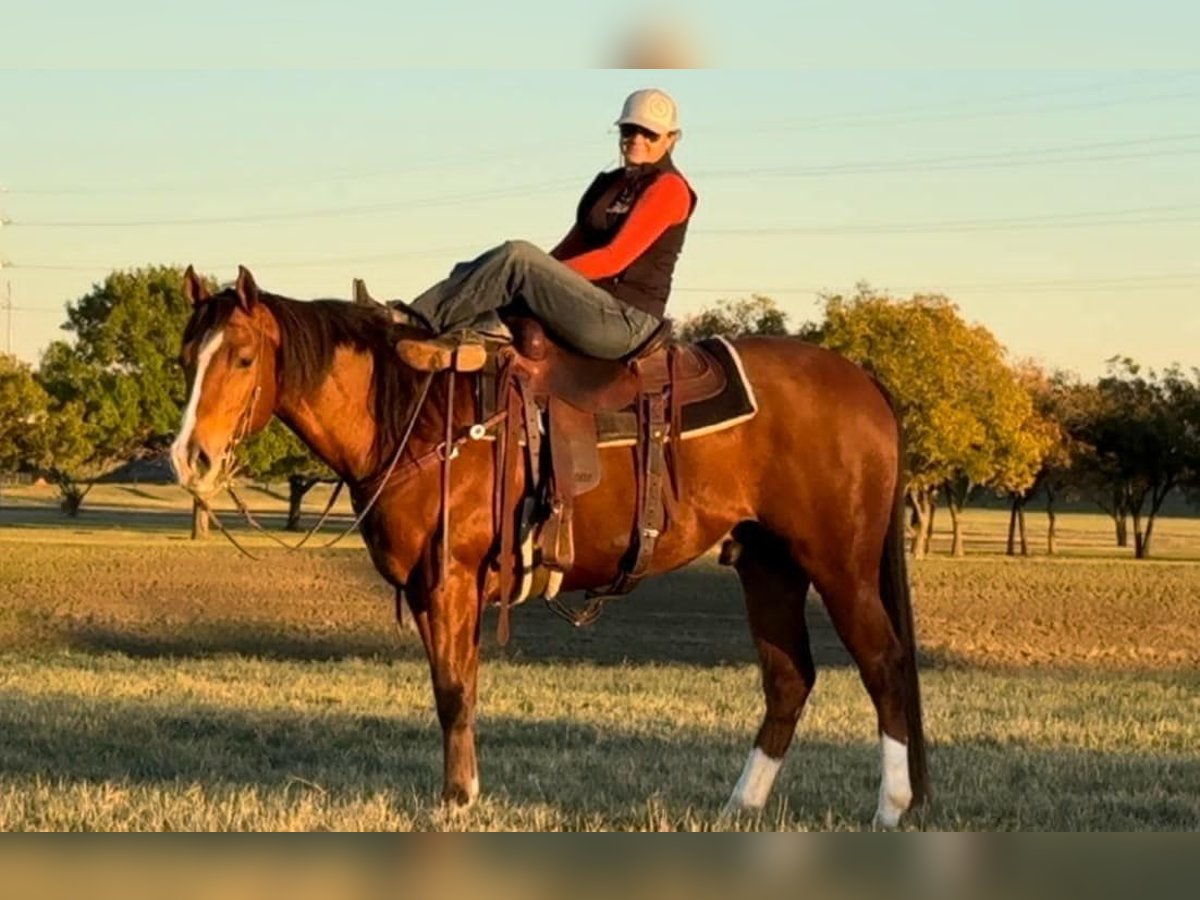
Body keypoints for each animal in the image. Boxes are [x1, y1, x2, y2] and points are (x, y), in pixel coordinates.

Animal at [170, 265, 928, 827]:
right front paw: (464, 791)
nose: (190, 458)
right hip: (767, 564)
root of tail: (863, 380)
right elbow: (459, 685)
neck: (421, 412)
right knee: (788, 678)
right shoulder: (432, 590)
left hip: (840, 566)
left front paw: (455, 802)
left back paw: (892, 806)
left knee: (884, 664)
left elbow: (452, 689)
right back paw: (740, 807)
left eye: (242, 356)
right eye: (183, 360)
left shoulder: (449, 579)